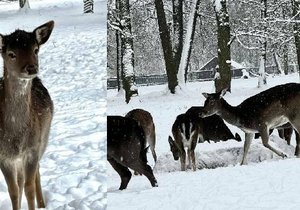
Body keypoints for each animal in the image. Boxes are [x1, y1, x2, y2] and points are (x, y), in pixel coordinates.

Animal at [0, 20, 54, 210]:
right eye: (11, 54)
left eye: (35, 49)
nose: (31, 68)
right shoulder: (4, 156)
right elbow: (14, 190)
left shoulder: (32, 149)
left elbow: (29, 188)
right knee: (21, 180)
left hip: (43, 139)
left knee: (36, 172)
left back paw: (42, 204)